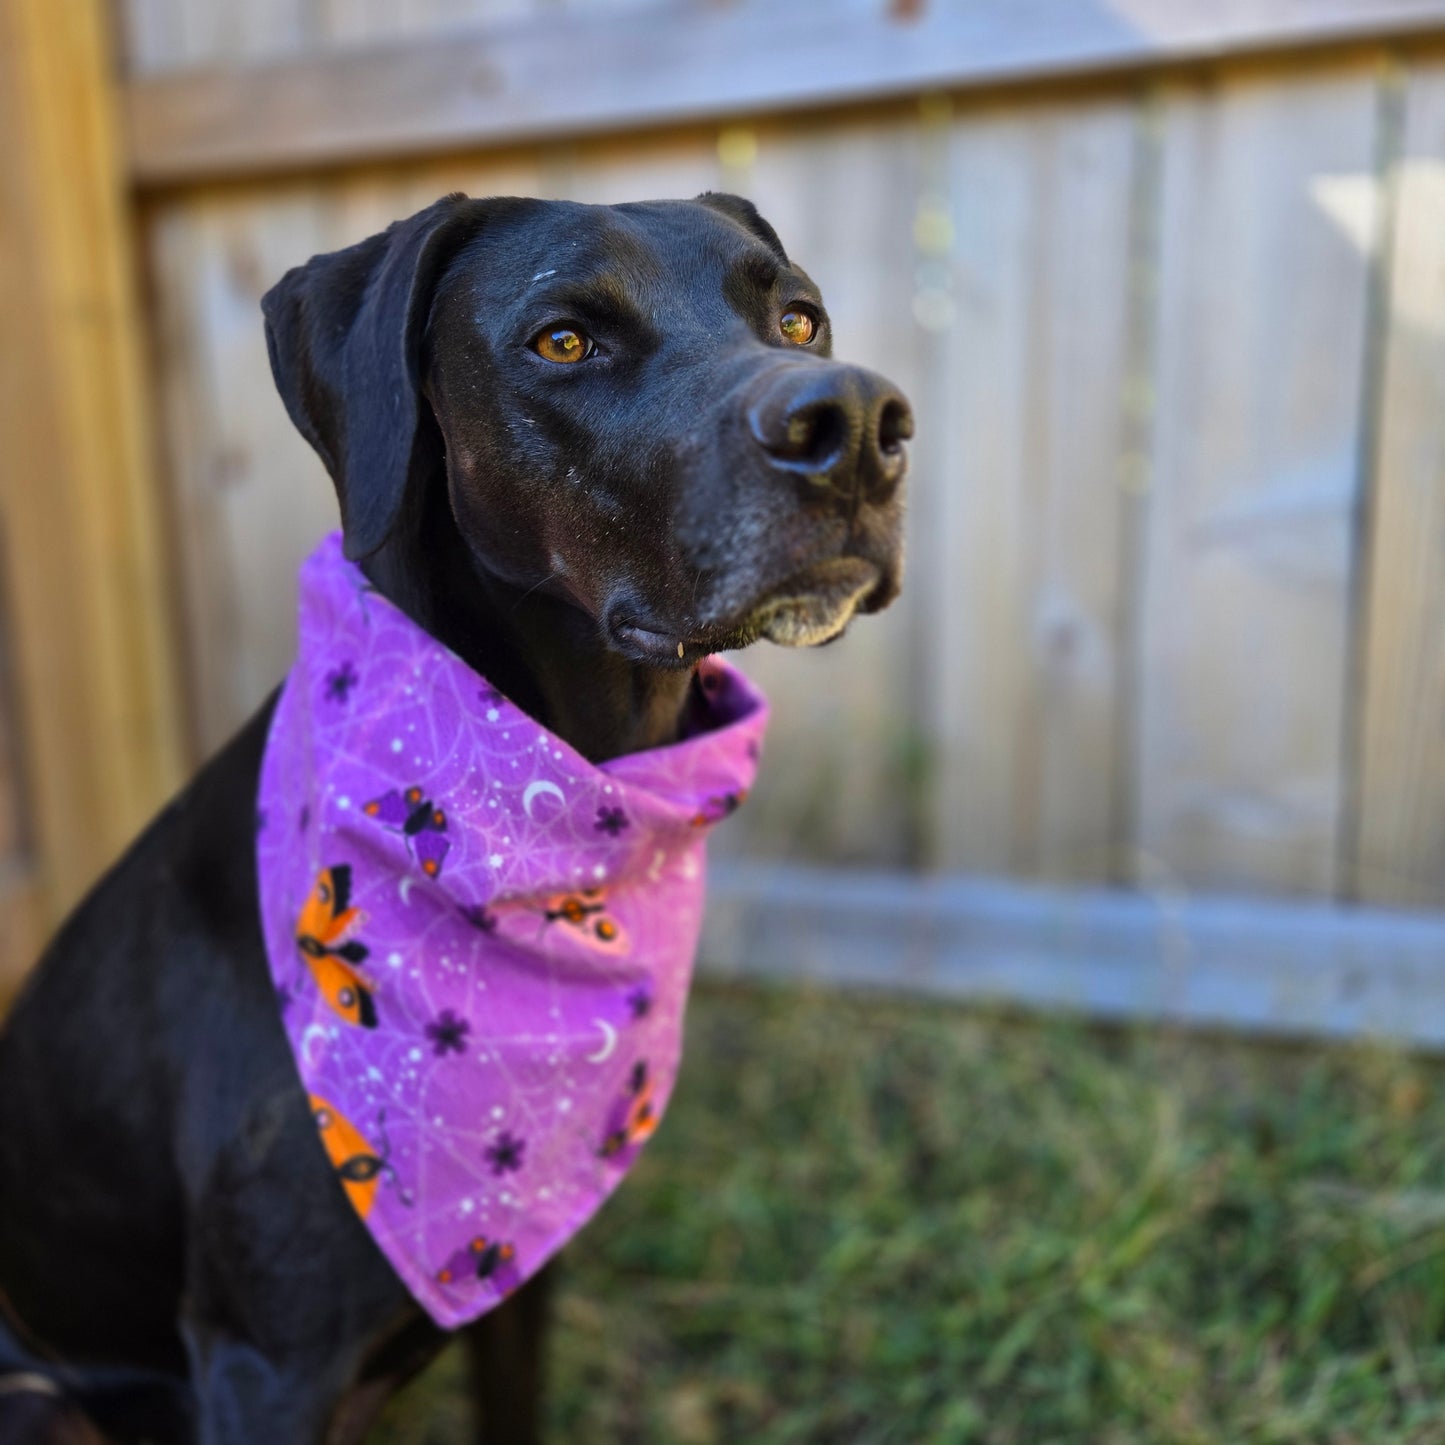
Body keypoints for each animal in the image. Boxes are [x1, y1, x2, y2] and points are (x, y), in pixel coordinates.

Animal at [0, 195, 907, 1445]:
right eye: (563, 339)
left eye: (798, 317)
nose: (859, 424)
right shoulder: (263, 1364)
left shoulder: (520, 1273)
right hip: (40, 1394)